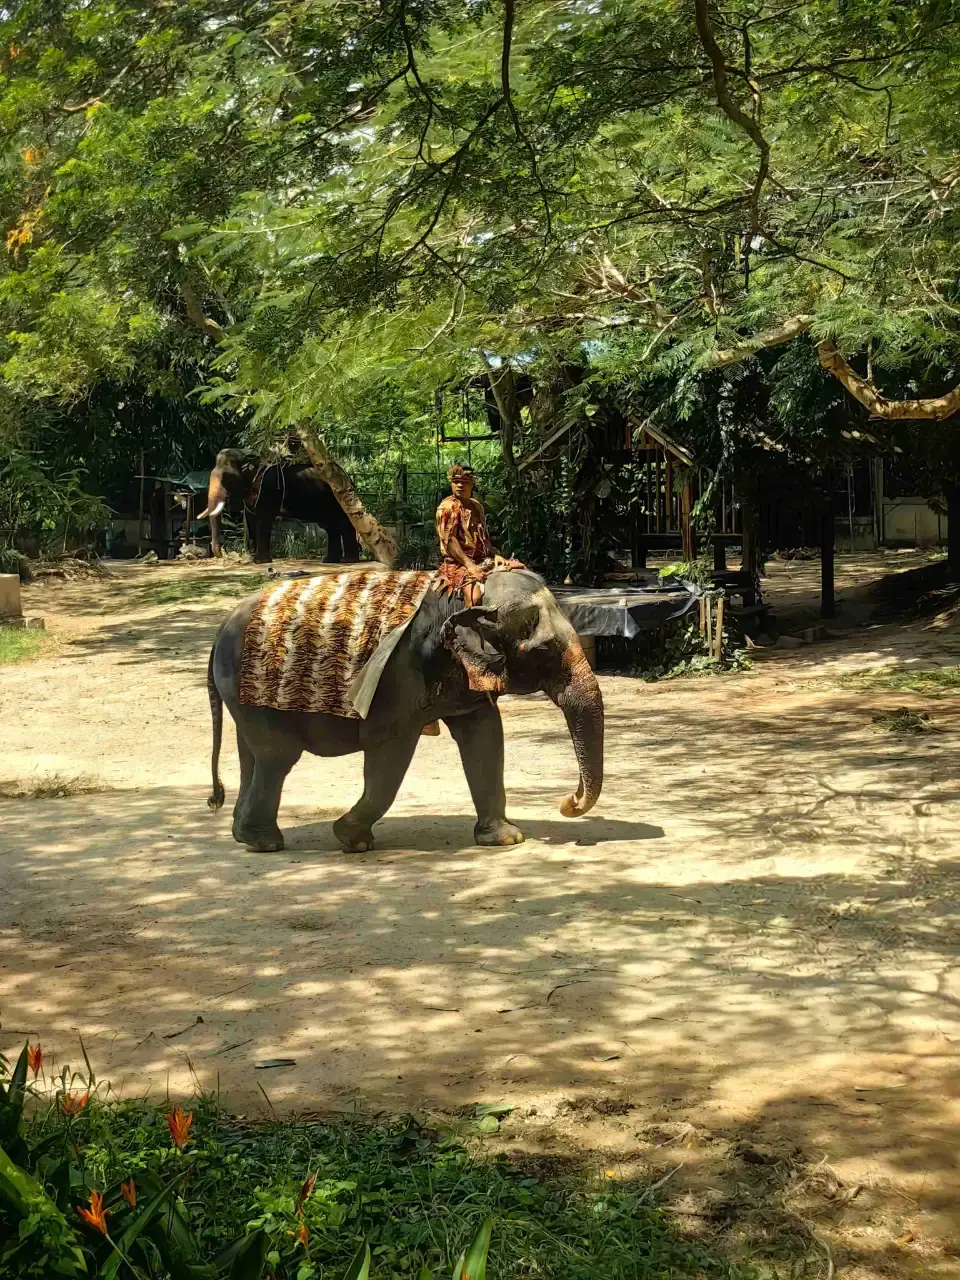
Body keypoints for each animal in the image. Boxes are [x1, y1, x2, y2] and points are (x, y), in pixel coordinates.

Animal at [199, 448, 361, 564]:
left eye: (228, 479)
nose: (222, 553)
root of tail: (349, 478)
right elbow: (251, 519)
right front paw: (251, 558)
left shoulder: (269, 488)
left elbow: (264, 519)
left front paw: (260, 561)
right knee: (330, 526)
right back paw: (329, 560)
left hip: (338, 500)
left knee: (343, 523)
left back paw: (348, 560)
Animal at [206, 567, 604, 852]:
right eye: (544, 651)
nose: (567, 802)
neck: (464, 595)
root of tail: (220, 627)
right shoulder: (397, 677)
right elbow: (391, 750)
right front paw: (353, 839)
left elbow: (485, 736)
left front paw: (506, 839)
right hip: (253, 691)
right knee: (277, 757)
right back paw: (265, 843)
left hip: (242, 697)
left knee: (251, 755)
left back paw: (246, 837)